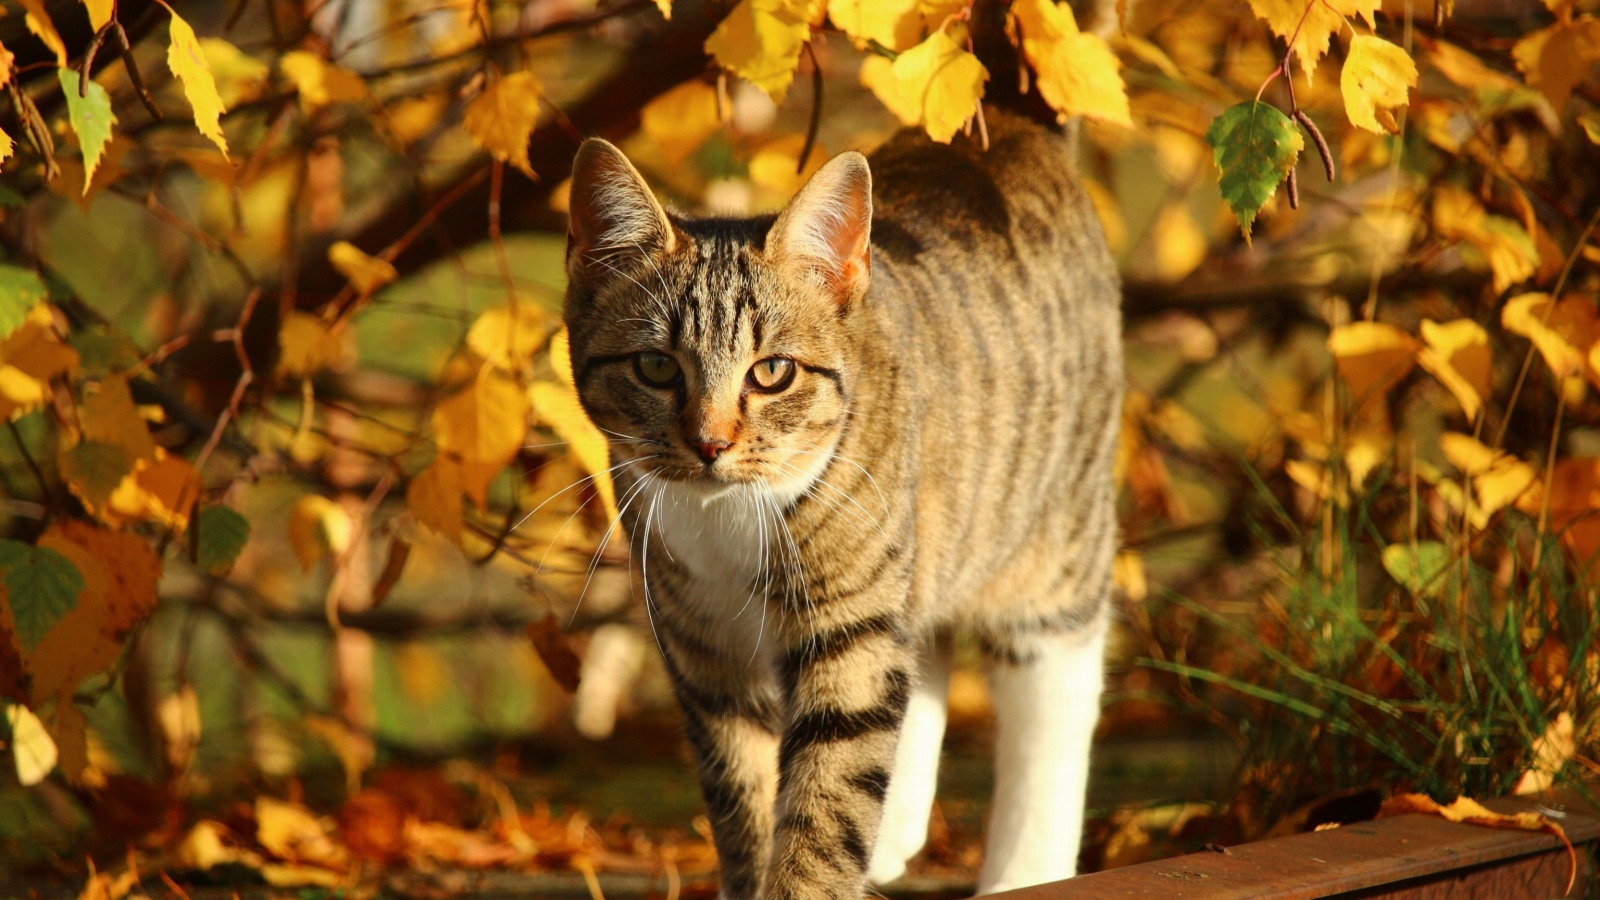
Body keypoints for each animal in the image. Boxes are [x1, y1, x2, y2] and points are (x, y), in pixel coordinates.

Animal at [563, 106, 1126, 896]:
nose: (709, 444)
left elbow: (829, 796)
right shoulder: (705, 656)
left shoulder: (848, 622)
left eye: (772, 372)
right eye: (654, 367)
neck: (728, 518)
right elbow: (745, 799)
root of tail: (1007, 122)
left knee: (1053, 689)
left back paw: (1022, 868)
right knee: (924, 643)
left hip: (1051, 533)